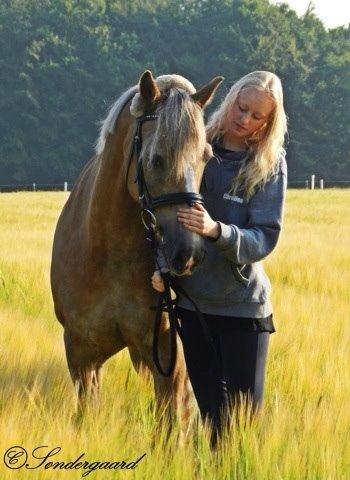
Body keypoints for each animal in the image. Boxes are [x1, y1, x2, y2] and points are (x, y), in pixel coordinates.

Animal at [50, 70, 223, 424]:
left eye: (206, 157)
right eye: (156, 159)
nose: (188, 253)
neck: (110, 256)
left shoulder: (169, 359)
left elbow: (171, 421)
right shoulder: (81, 356)